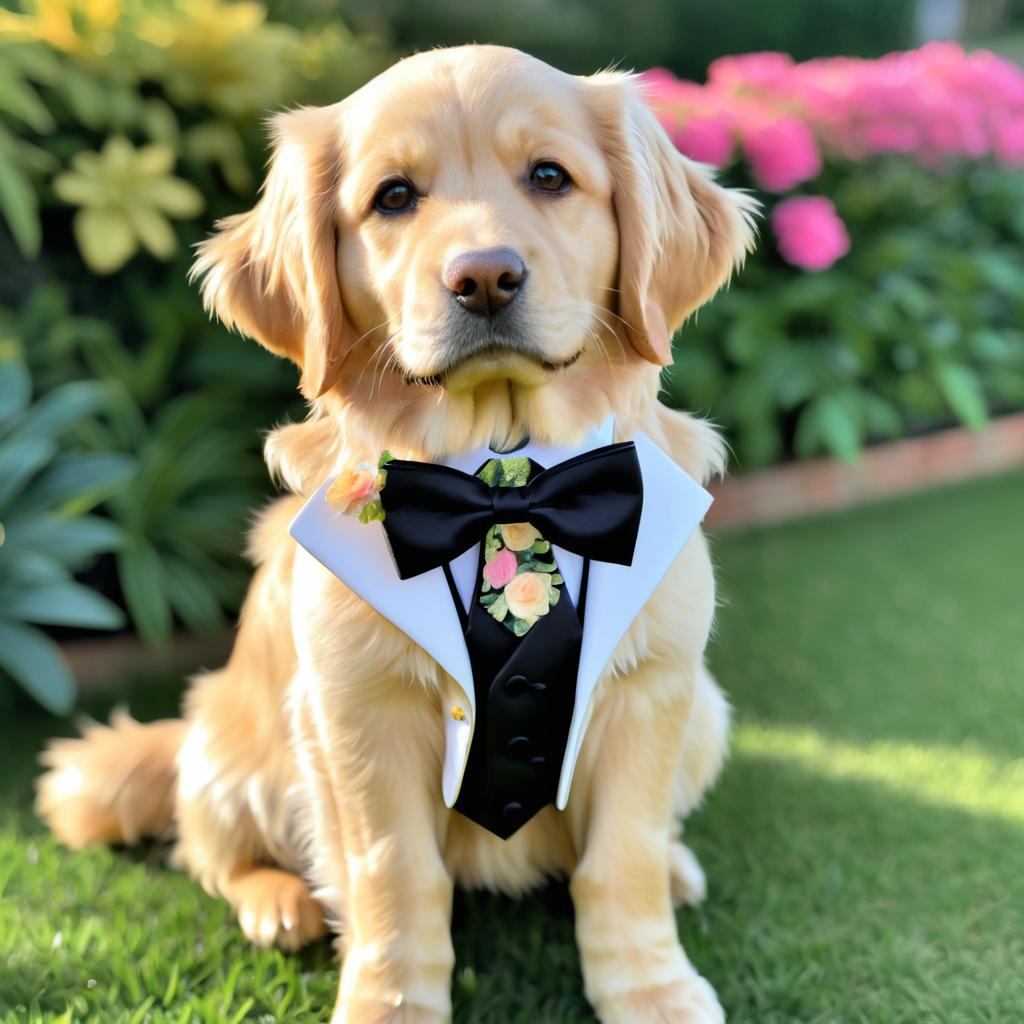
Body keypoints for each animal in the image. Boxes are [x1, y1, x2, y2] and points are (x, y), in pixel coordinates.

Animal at [36, 44, 757, 1019]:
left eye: (549, 176)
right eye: (394, 197)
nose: (484, 277)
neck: (506, 484)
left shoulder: (654, 692)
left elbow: (624, 858)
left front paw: (650, 988)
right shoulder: (357, 716)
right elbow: (394, 876)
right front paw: (390, 1002)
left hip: (708, 714)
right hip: (237, 750)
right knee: (210, 852)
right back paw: (278, 902)